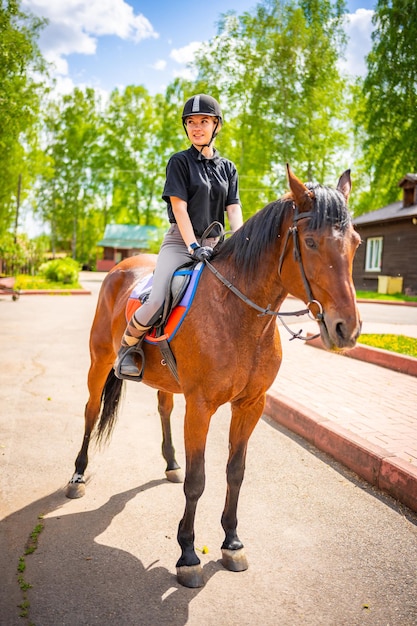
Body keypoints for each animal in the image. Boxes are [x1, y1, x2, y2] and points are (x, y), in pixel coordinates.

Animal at [66, 165, 360, 584]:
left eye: (355, 243)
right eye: (311, 242)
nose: (346, 329)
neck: (238, 314)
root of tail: (120, 268)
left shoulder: (251, 405)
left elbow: (235, 472)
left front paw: (232, 542)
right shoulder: (201, 406)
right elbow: (197, 480)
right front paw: (188, 553)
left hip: (165, 381)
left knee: (163, 408)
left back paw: (170, 463)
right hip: (100, 361)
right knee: (91, 411)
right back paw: (77, 476)